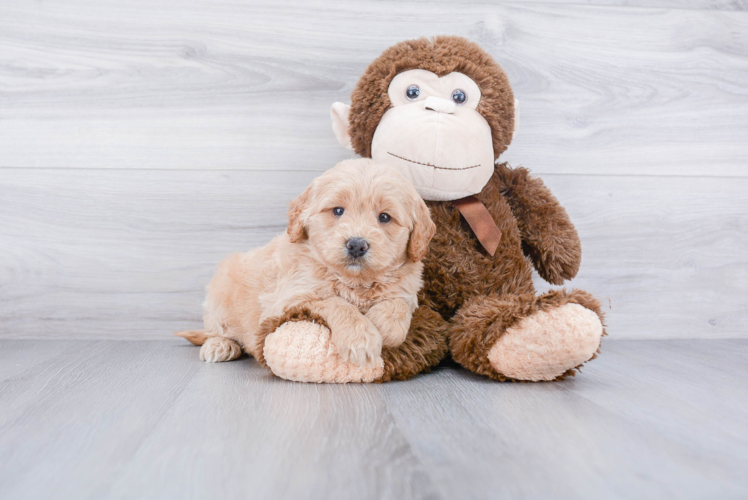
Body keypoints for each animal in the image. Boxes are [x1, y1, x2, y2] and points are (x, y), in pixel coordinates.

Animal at [175, 159, 436, 368]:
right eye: (338, 211)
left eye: (384, 217)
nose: (356, 245)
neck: (354, 281)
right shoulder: (289, 300)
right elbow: (335, 302)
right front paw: (360, 337)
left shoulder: (407, 291)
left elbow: (398, 304)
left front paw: (384, 326)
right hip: (220, 295)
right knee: (216, 330)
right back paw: (219, 345)